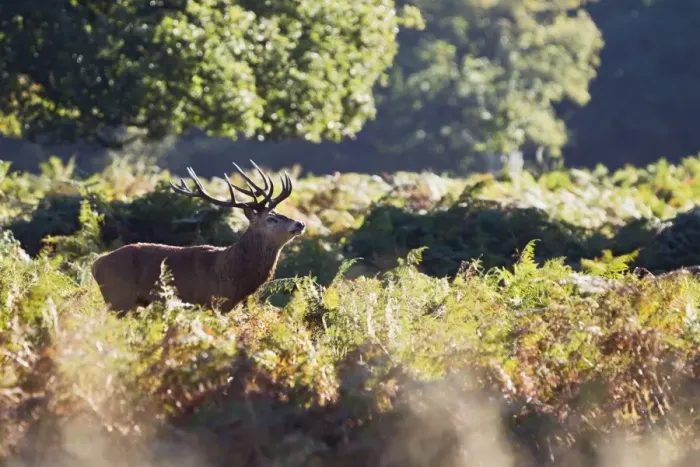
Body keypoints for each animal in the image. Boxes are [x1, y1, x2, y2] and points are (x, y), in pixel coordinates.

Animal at [91, 160, 306, 316]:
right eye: (271, 219)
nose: (300, 224)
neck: (230, 275)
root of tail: (96, 265)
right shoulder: (204, 303)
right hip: (118, 297)